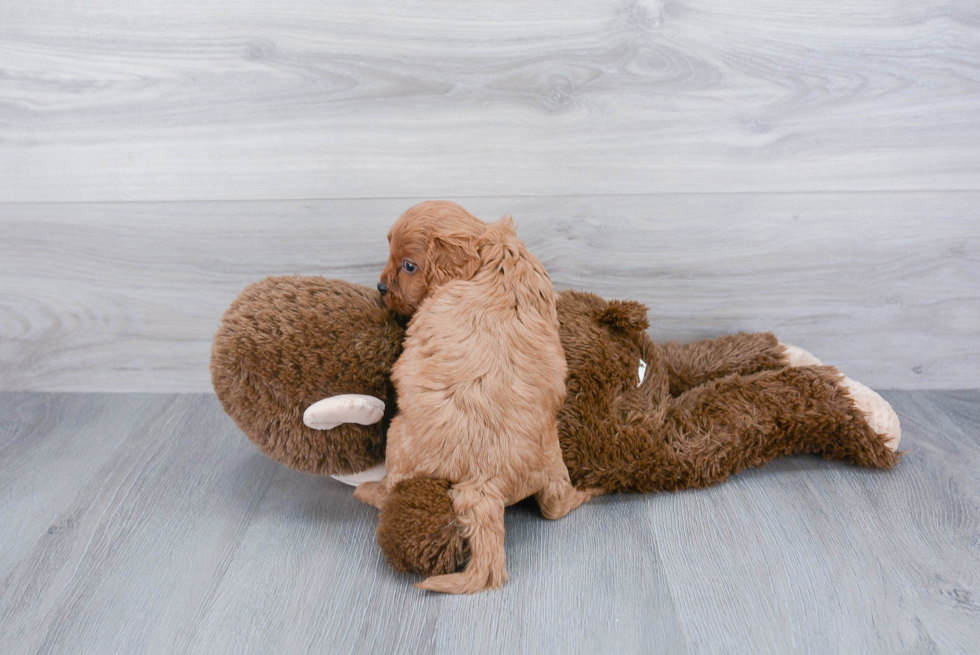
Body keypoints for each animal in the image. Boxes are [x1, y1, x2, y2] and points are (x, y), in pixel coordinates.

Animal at [356, 200, 592, 596]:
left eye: (409, 265)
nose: (380, 287)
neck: (487, 250)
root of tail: (484, 484)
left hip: (397, 439)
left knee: (392, 487)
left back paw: (367, 491)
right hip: (553, 464)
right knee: (557, 503)